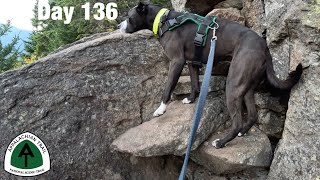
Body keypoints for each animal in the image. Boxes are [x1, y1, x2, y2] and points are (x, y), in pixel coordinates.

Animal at [118, 2, 302, 148]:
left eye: (129, 17)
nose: (119, 26)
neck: (163, 20)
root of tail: (264, 47)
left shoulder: (177, 62)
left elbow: (168, 88)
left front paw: (160, 109)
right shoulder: (192, 63)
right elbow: (194, 84)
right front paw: (191, 99)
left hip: (233, 85)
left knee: (237, 121)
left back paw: (221, 142)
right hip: (246, 86)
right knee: (252, 115)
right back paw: (242, 132)